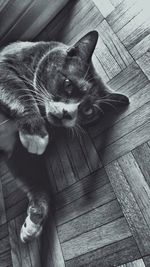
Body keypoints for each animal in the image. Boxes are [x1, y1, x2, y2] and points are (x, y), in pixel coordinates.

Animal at [0, 30, 129, 243]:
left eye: (88, 111)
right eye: (68, 84)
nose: (67, 114)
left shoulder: (18, 153)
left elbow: (37, 183)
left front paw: (34, 222)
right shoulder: (5, 63)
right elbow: (18, 90)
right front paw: (35, 133)